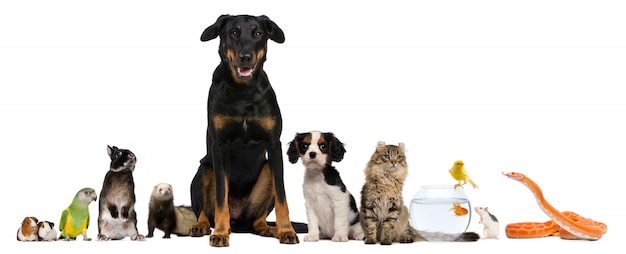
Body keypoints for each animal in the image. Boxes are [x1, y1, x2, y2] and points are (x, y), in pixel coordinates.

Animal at [189, 13, 304, 246]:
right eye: (233, 32)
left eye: (258, 33)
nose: (245, 57)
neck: (243, 90)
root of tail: (239, 223)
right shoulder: (220, 147)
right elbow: (221, 198)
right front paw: (220, 233)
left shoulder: (274, 145)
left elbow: (282, 196)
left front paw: (286, 230)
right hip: (204, 170)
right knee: (204, 211)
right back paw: (203, 226)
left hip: (267, 170)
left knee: (257, 221)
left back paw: (270, 230)